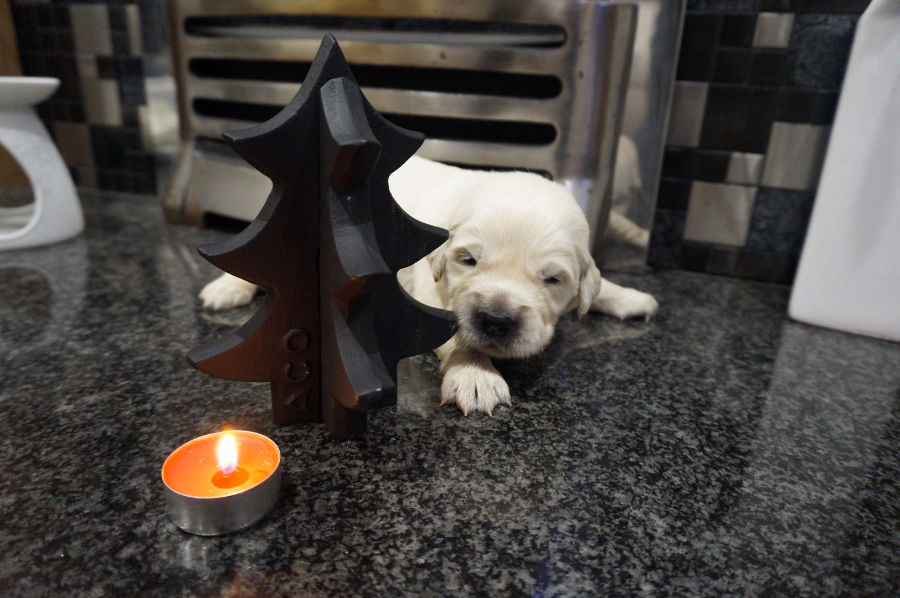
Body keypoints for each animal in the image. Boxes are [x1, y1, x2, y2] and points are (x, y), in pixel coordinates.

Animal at [200, 156, 658, 416]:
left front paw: (630, 296)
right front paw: (476, 375)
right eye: (468, 260)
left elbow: (596, 282)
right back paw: (226, 290)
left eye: (552, 279)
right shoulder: (427, 290)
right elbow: (455, 334)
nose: (495, 320)